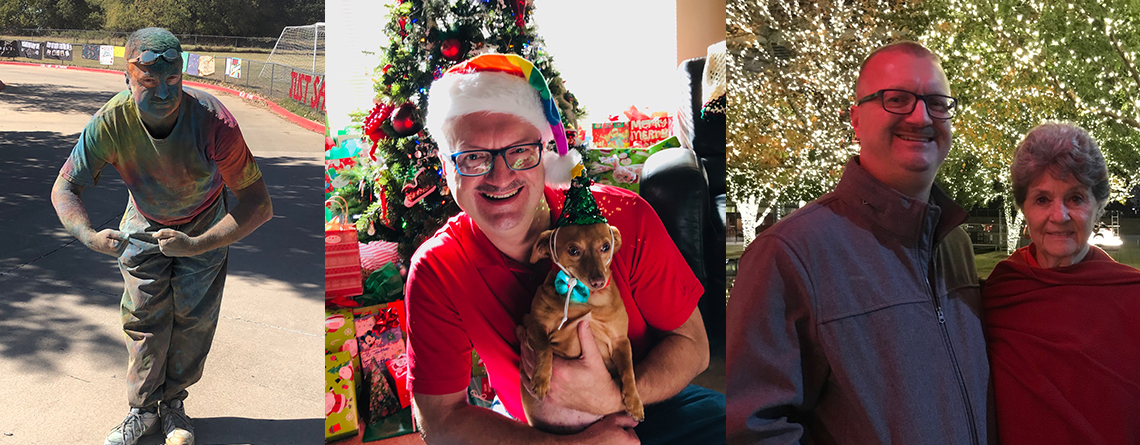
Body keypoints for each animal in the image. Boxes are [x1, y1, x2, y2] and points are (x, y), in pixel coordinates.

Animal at [517, 224, 642, 433]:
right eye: (574, 250)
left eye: (606, 246)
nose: (598, 281)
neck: (587, 297)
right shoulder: (533, 324)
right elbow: (545, 348)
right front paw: (541, 380)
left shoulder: (620, 341)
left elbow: (628, 370)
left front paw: (634, 402)